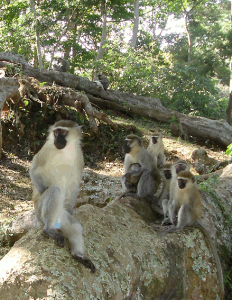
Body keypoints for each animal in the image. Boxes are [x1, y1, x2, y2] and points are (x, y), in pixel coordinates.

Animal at [29, 120, 95, 274]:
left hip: (62, 217)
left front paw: (71, 209)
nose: (57, 139)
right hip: (40, 212)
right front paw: (42, 190)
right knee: (55, 191)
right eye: (56, 132)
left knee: (75, 226)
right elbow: (34, 170)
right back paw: (49, 229)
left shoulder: (80, 157)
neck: (65, 152)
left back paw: (78, 255)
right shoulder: (46, 151)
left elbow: (74, 185)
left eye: (63, 132)